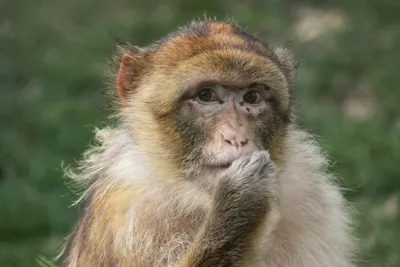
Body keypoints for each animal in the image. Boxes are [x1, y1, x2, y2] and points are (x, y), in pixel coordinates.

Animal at [60, 19, 356, 267]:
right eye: (206, 95)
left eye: (252, 97)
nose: (236, 137)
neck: (196, 200)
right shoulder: (126, 208)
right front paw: (240, 210)